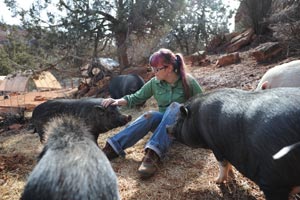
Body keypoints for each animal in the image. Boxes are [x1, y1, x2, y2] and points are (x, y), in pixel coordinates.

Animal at [168, 87, 300, 200]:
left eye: (179, 120)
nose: (166, 128)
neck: (196, 119)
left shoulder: (215, 146)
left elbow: (222, 164)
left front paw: (217, 181)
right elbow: (229, 163)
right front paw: (232, 177)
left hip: (274, 180)